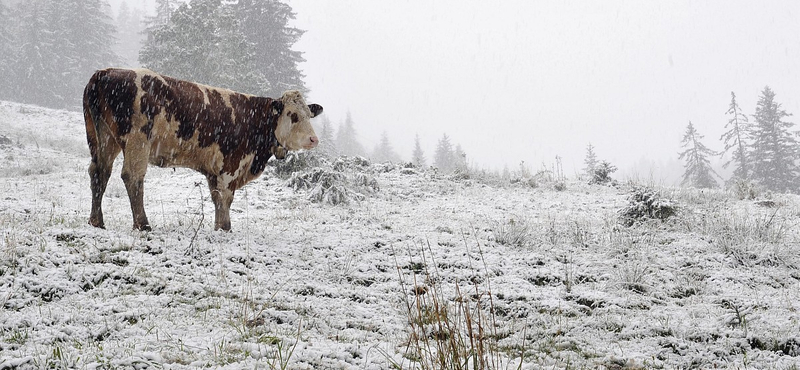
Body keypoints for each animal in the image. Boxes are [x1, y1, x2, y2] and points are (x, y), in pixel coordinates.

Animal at [84, 68, 322, 230]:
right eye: (293, 115)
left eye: (310, 115)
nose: (313, 139)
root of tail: (104, 73)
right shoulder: (230, 165)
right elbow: (226, 197)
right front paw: (225, 228)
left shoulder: (213, 171)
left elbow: (216, 198)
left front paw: (218, 227)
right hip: (138, 141)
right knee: (132, 177)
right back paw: (143, 224)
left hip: (103, 139)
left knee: (99, 172)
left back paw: (96, 221)